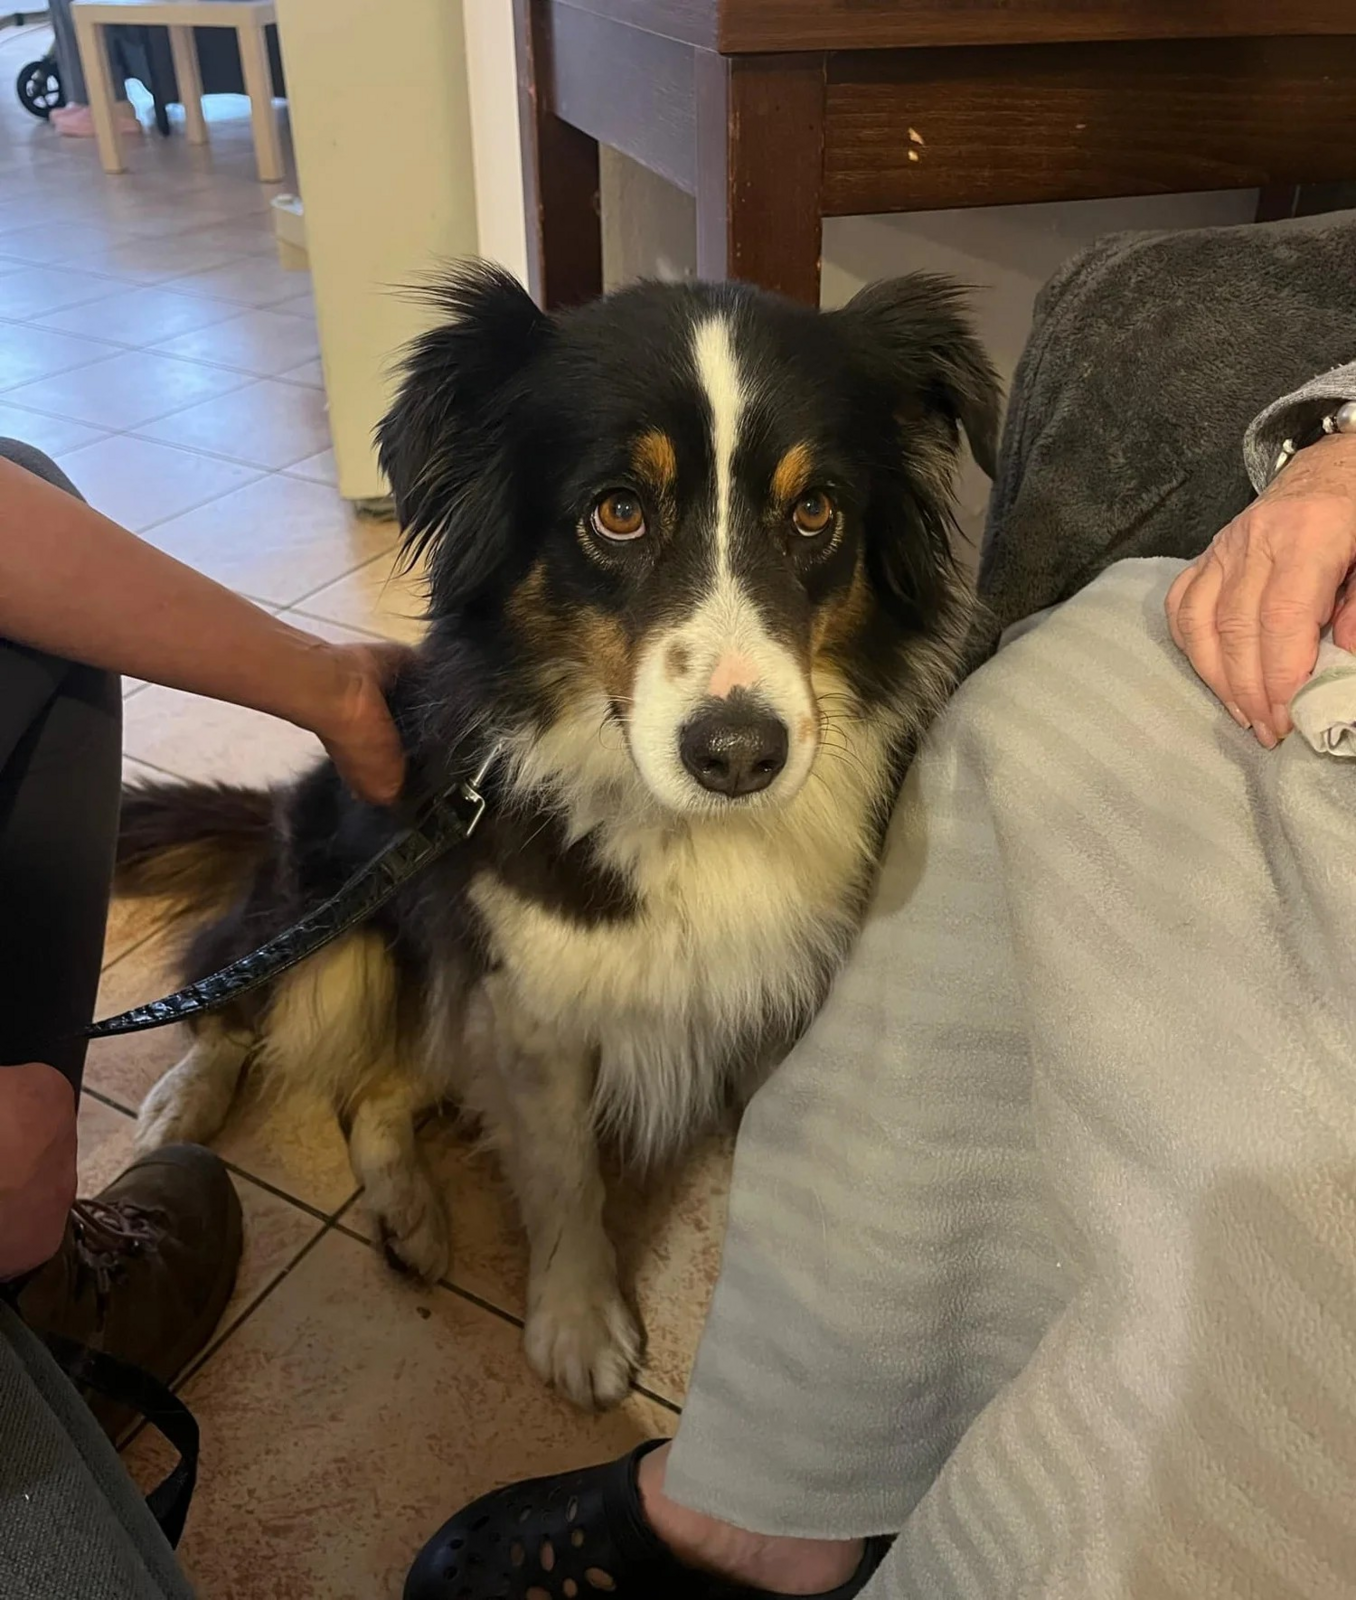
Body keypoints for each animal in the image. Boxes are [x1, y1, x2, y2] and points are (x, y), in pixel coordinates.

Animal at [117, 264, 998, 1409]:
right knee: (237, 997)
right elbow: (565, 1172)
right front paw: (579, 1325)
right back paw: (183, 1104)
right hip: (340, 923)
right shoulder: (532, 1007)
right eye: (617, 511)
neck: (690, 828)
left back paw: (409, 1217)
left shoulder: (774, 992)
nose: (740, 755)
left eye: (815, 510)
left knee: (373, 1092)